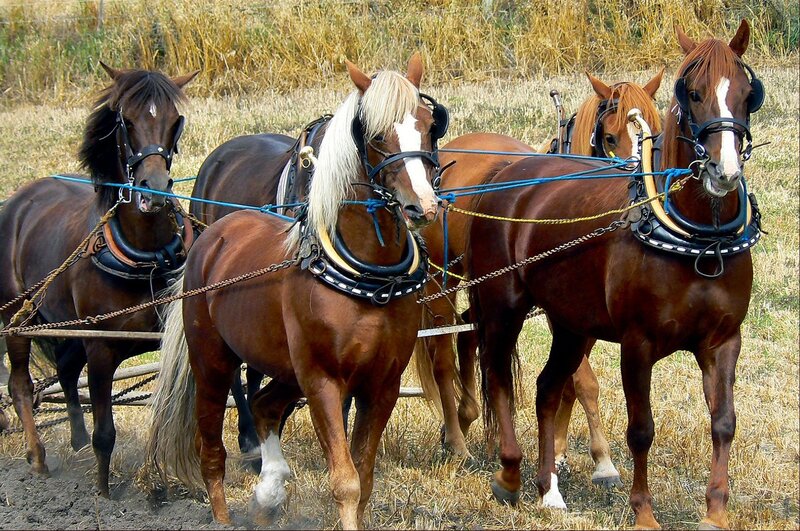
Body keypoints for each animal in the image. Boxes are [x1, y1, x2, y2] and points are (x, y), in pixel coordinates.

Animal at [0, 63, 198, 495]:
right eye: (126, 120)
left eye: (175, 121)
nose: (154, 192)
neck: (145, 252)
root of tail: (17, 201)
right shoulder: (101, 349)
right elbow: (105, 432)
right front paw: (105, 493)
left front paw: (157, 483)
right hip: (17, 319)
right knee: (20, 384)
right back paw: (38, 457)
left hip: (65, 322)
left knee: (64, 370)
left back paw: (74, 440)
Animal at [146, 54, 444, 528]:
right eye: (376, 134)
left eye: (431, 125)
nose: (423, 207)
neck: (369, 280)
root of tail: (213, 236)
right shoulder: (322, 381)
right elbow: (346, 481)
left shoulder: (382, 384)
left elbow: (365, 476)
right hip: (213, 362)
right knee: (211, 451)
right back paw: (225, 513)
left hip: (285, 368)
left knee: (264, 405)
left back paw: (269, 490)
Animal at [414, 69, 664, 481]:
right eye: (610, 137)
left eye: (655, 133)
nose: (640, 192)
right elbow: (584, 381)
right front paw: (603, 461)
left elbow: (569, 382)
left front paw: (561, 452)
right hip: (443, 278)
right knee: (442, 353)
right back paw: (456, 440)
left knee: (469, 334)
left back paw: (469, 419)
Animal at [464, 20, 762, 529]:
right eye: (693, 93)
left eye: (747, 93)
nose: (723, 172)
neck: (698, 237)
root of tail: (504, 173)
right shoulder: (637, 343)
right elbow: (641, 429)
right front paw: (643, 512)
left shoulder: (723, 340)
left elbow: (724, 423)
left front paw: (716, 512)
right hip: (503, 308)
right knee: (499, 377)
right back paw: (509, 475)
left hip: (569, 323)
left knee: (547, 388)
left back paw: (548, 488)